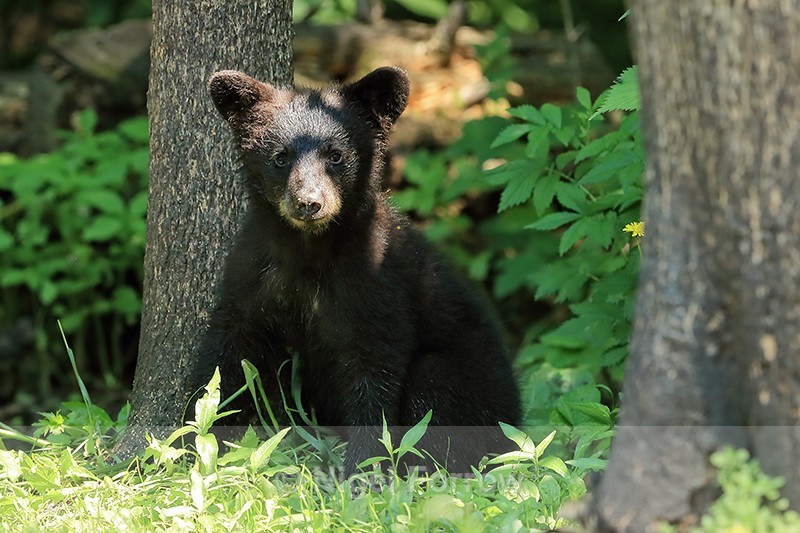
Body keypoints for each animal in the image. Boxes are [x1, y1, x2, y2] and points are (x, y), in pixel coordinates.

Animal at [197, 66, 521, 476]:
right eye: (280, 157)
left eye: (335, 155)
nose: (309, 203)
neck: (309, 251)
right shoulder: (252, 270)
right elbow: (226, 352)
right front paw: (196, 437)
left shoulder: (375, 280)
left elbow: (374, 369)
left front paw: (363, 468)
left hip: (475, 385)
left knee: (435, 391)